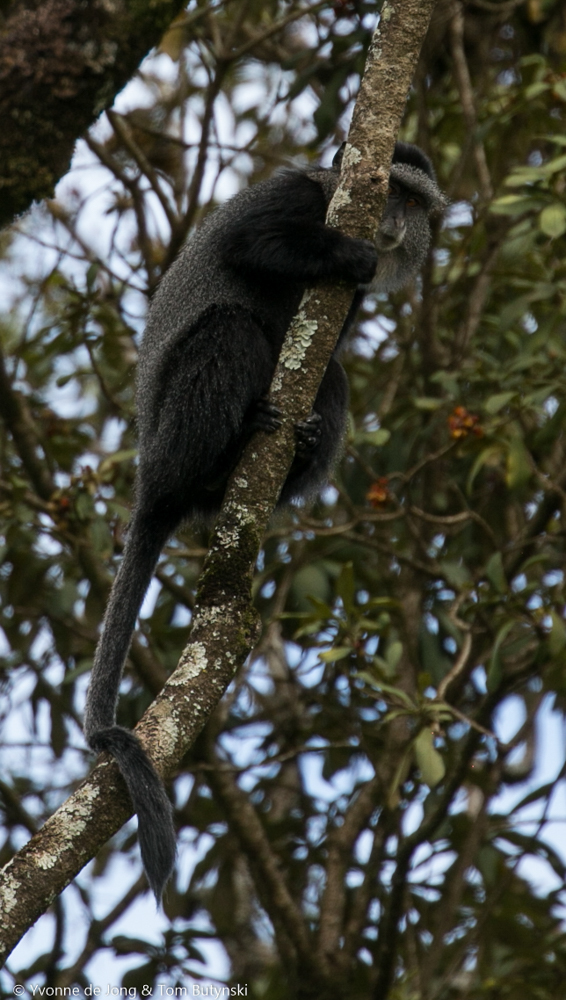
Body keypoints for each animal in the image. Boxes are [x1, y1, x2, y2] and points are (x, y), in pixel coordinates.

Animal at [83, 141, 447, 903]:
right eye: (387, 191)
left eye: (413, 202)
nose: (391, 228)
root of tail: (151, 480)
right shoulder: (292, 201)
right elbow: (246, 244)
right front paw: (349, 253)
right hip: (177, 429)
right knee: (229, 325)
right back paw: (230, 451)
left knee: (332, 374)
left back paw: (295, 446)